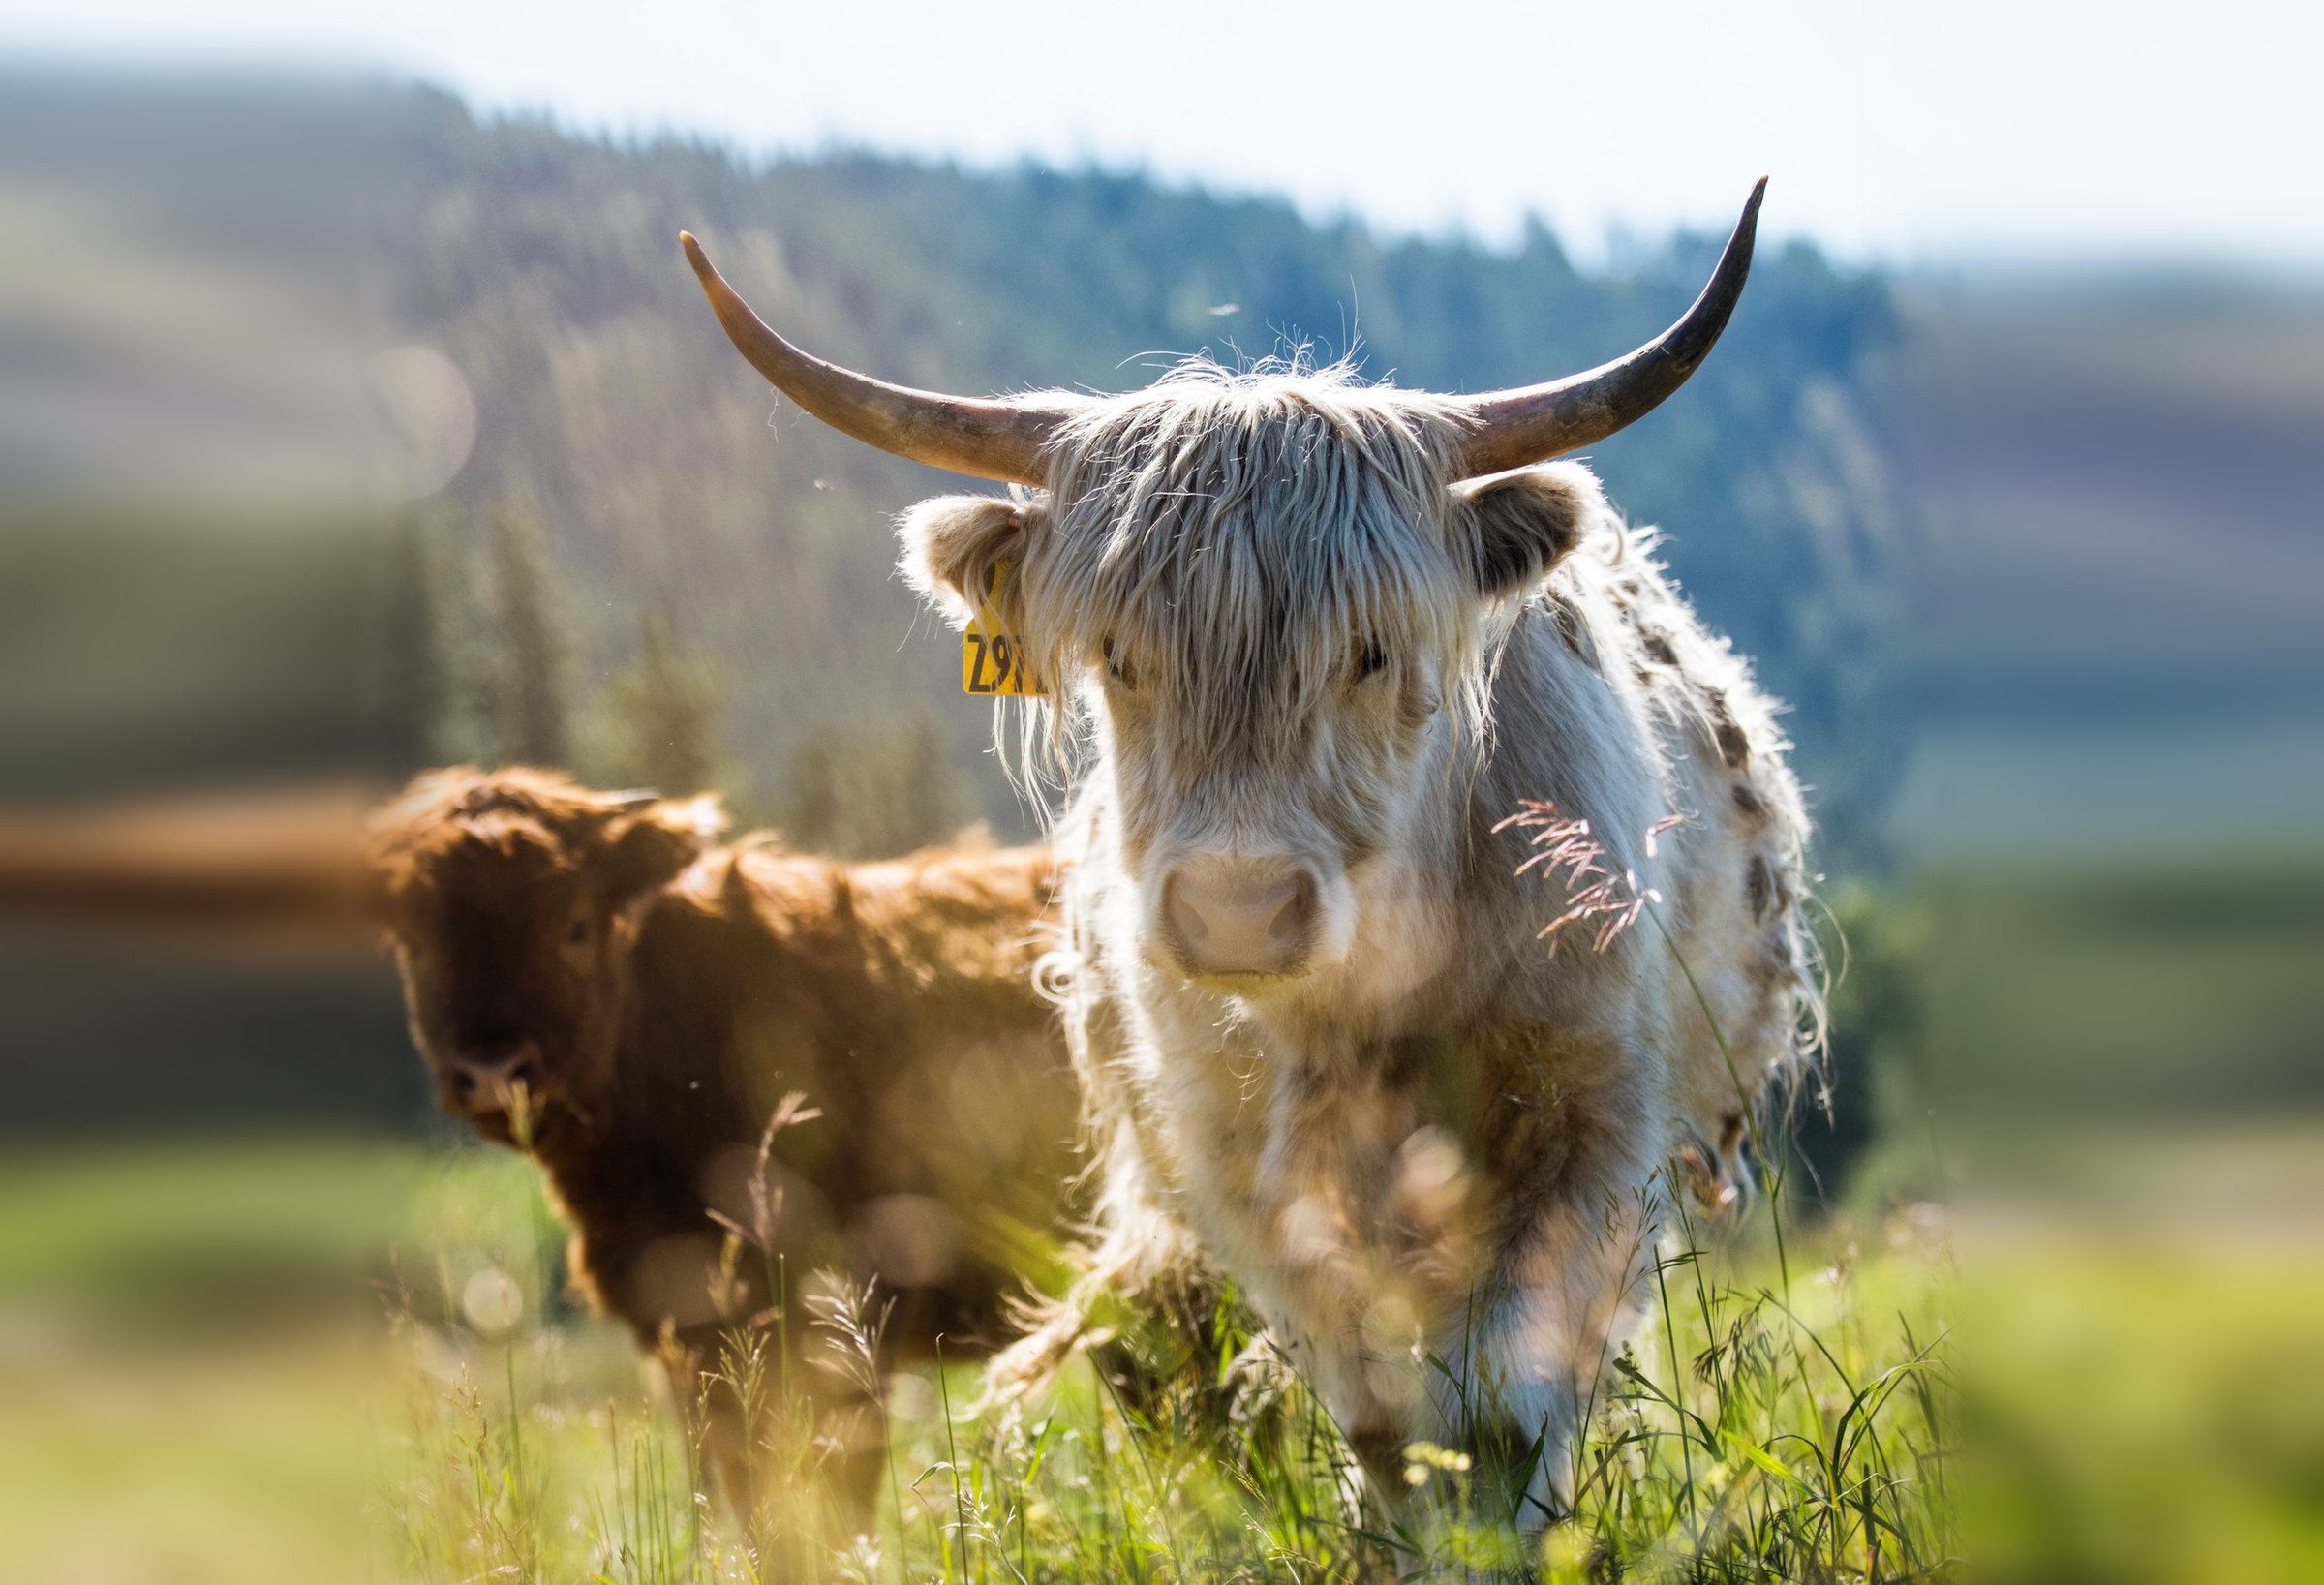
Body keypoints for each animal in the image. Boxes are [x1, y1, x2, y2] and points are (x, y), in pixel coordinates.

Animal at [682, 179, 1820, 1526]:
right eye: (1121, 656)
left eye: (1372, 650)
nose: (1236, 912)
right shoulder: (1247, 1172)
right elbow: (1383, 1414)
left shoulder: (1586, 1121)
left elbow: (1511, 1400)